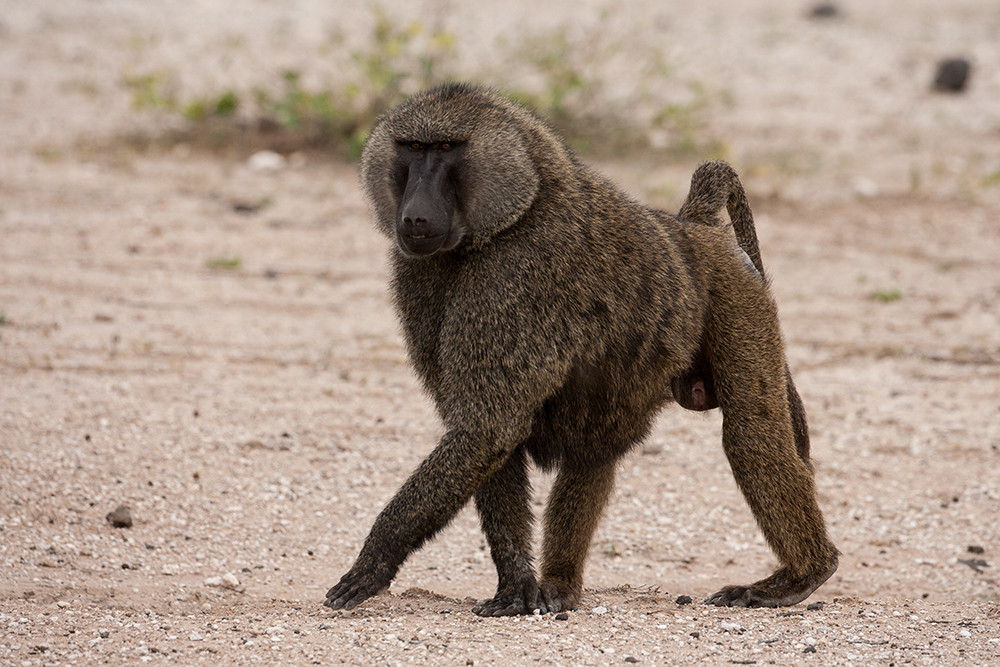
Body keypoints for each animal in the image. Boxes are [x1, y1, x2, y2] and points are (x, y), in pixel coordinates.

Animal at [324, 83, 838, 616]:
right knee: (597, 445)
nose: (415, 214)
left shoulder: (514, 274)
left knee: (749, 431)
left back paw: (802, 575)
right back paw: (561, 586)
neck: (516, 211)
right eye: (412, 148)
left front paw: (372, 563)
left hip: (738, 298)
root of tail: (692, 230)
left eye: (446, 149)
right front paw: (515, 589)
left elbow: (486, 429)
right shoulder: (418, 272)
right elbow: (486, 434)